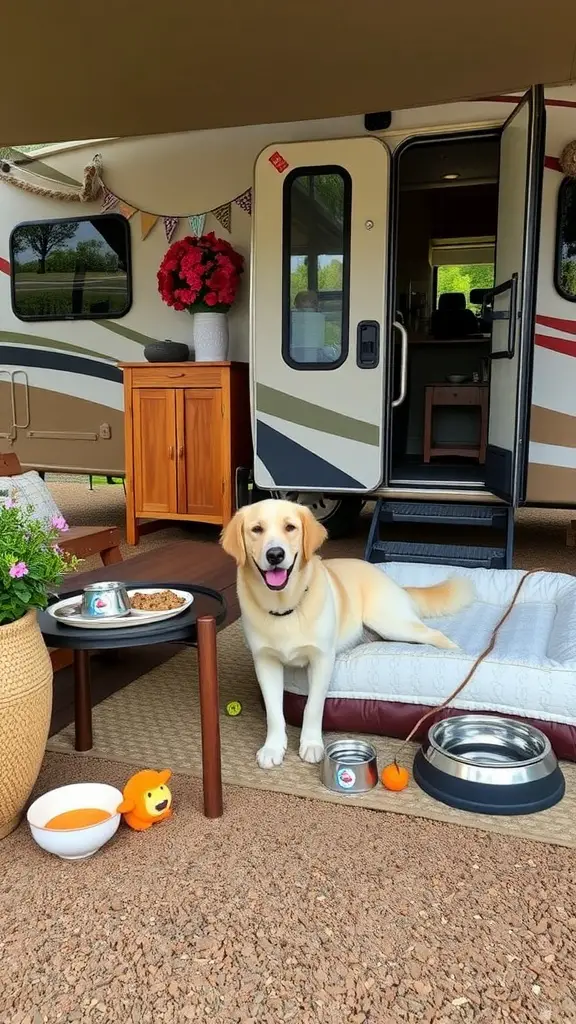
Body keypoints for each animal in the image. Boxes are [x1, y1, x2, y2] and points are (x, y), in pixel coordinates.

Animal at [219, 495, 471, 770]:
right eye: (257, 529)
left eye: (290, 527)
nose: (275, 554)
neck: (284, 607)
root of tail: (394, 582)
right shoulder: (265, 661)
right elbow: (275, 711)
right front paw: (273, 747)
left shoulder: (322, 659)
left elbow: (313, 706)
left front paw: (311, 744)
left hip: (391, 621)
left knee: (436, 635)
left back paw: (460, 654)